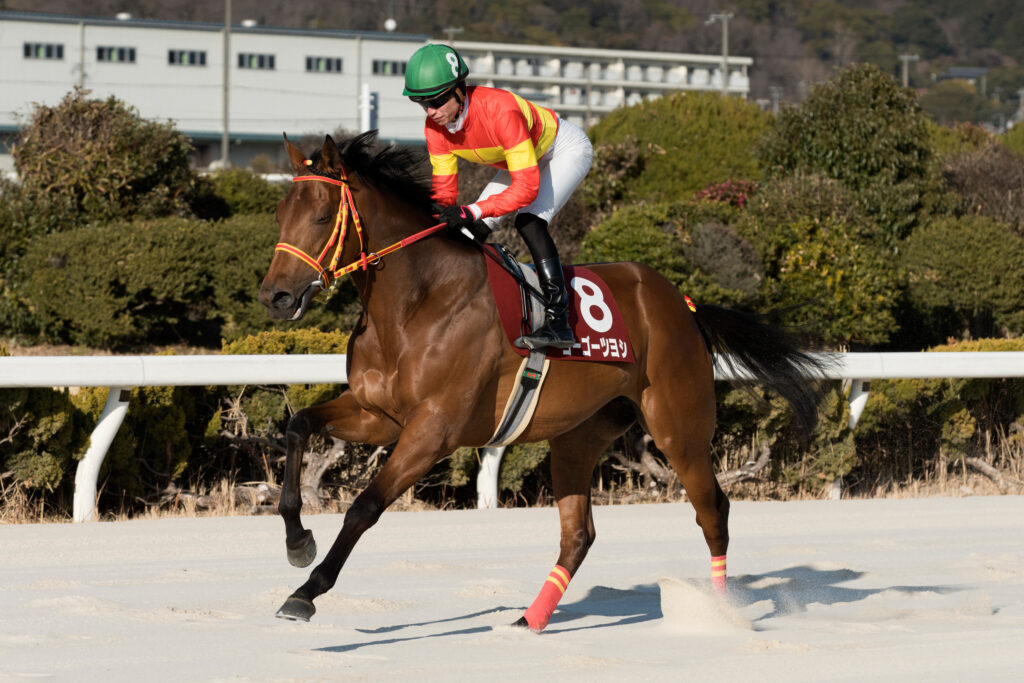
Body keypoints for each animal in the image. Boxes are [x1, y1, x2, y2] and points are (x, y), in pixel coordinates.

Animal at [257, 130, 824, 630]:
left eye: (322, 215)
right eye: (281, 213)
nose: (275, 297)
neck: (417, 301)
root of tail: (682, 303)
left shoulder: (434, 429)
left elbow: (364, 507)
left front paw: (305, 592)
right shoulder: (378, 414)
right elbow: (299, 425)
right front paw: (297, 541)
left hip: (678, 427)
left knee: (713, 512)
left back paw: (721, 613)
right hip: (578, 435)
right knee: (579, 535)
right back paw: (530, 620)